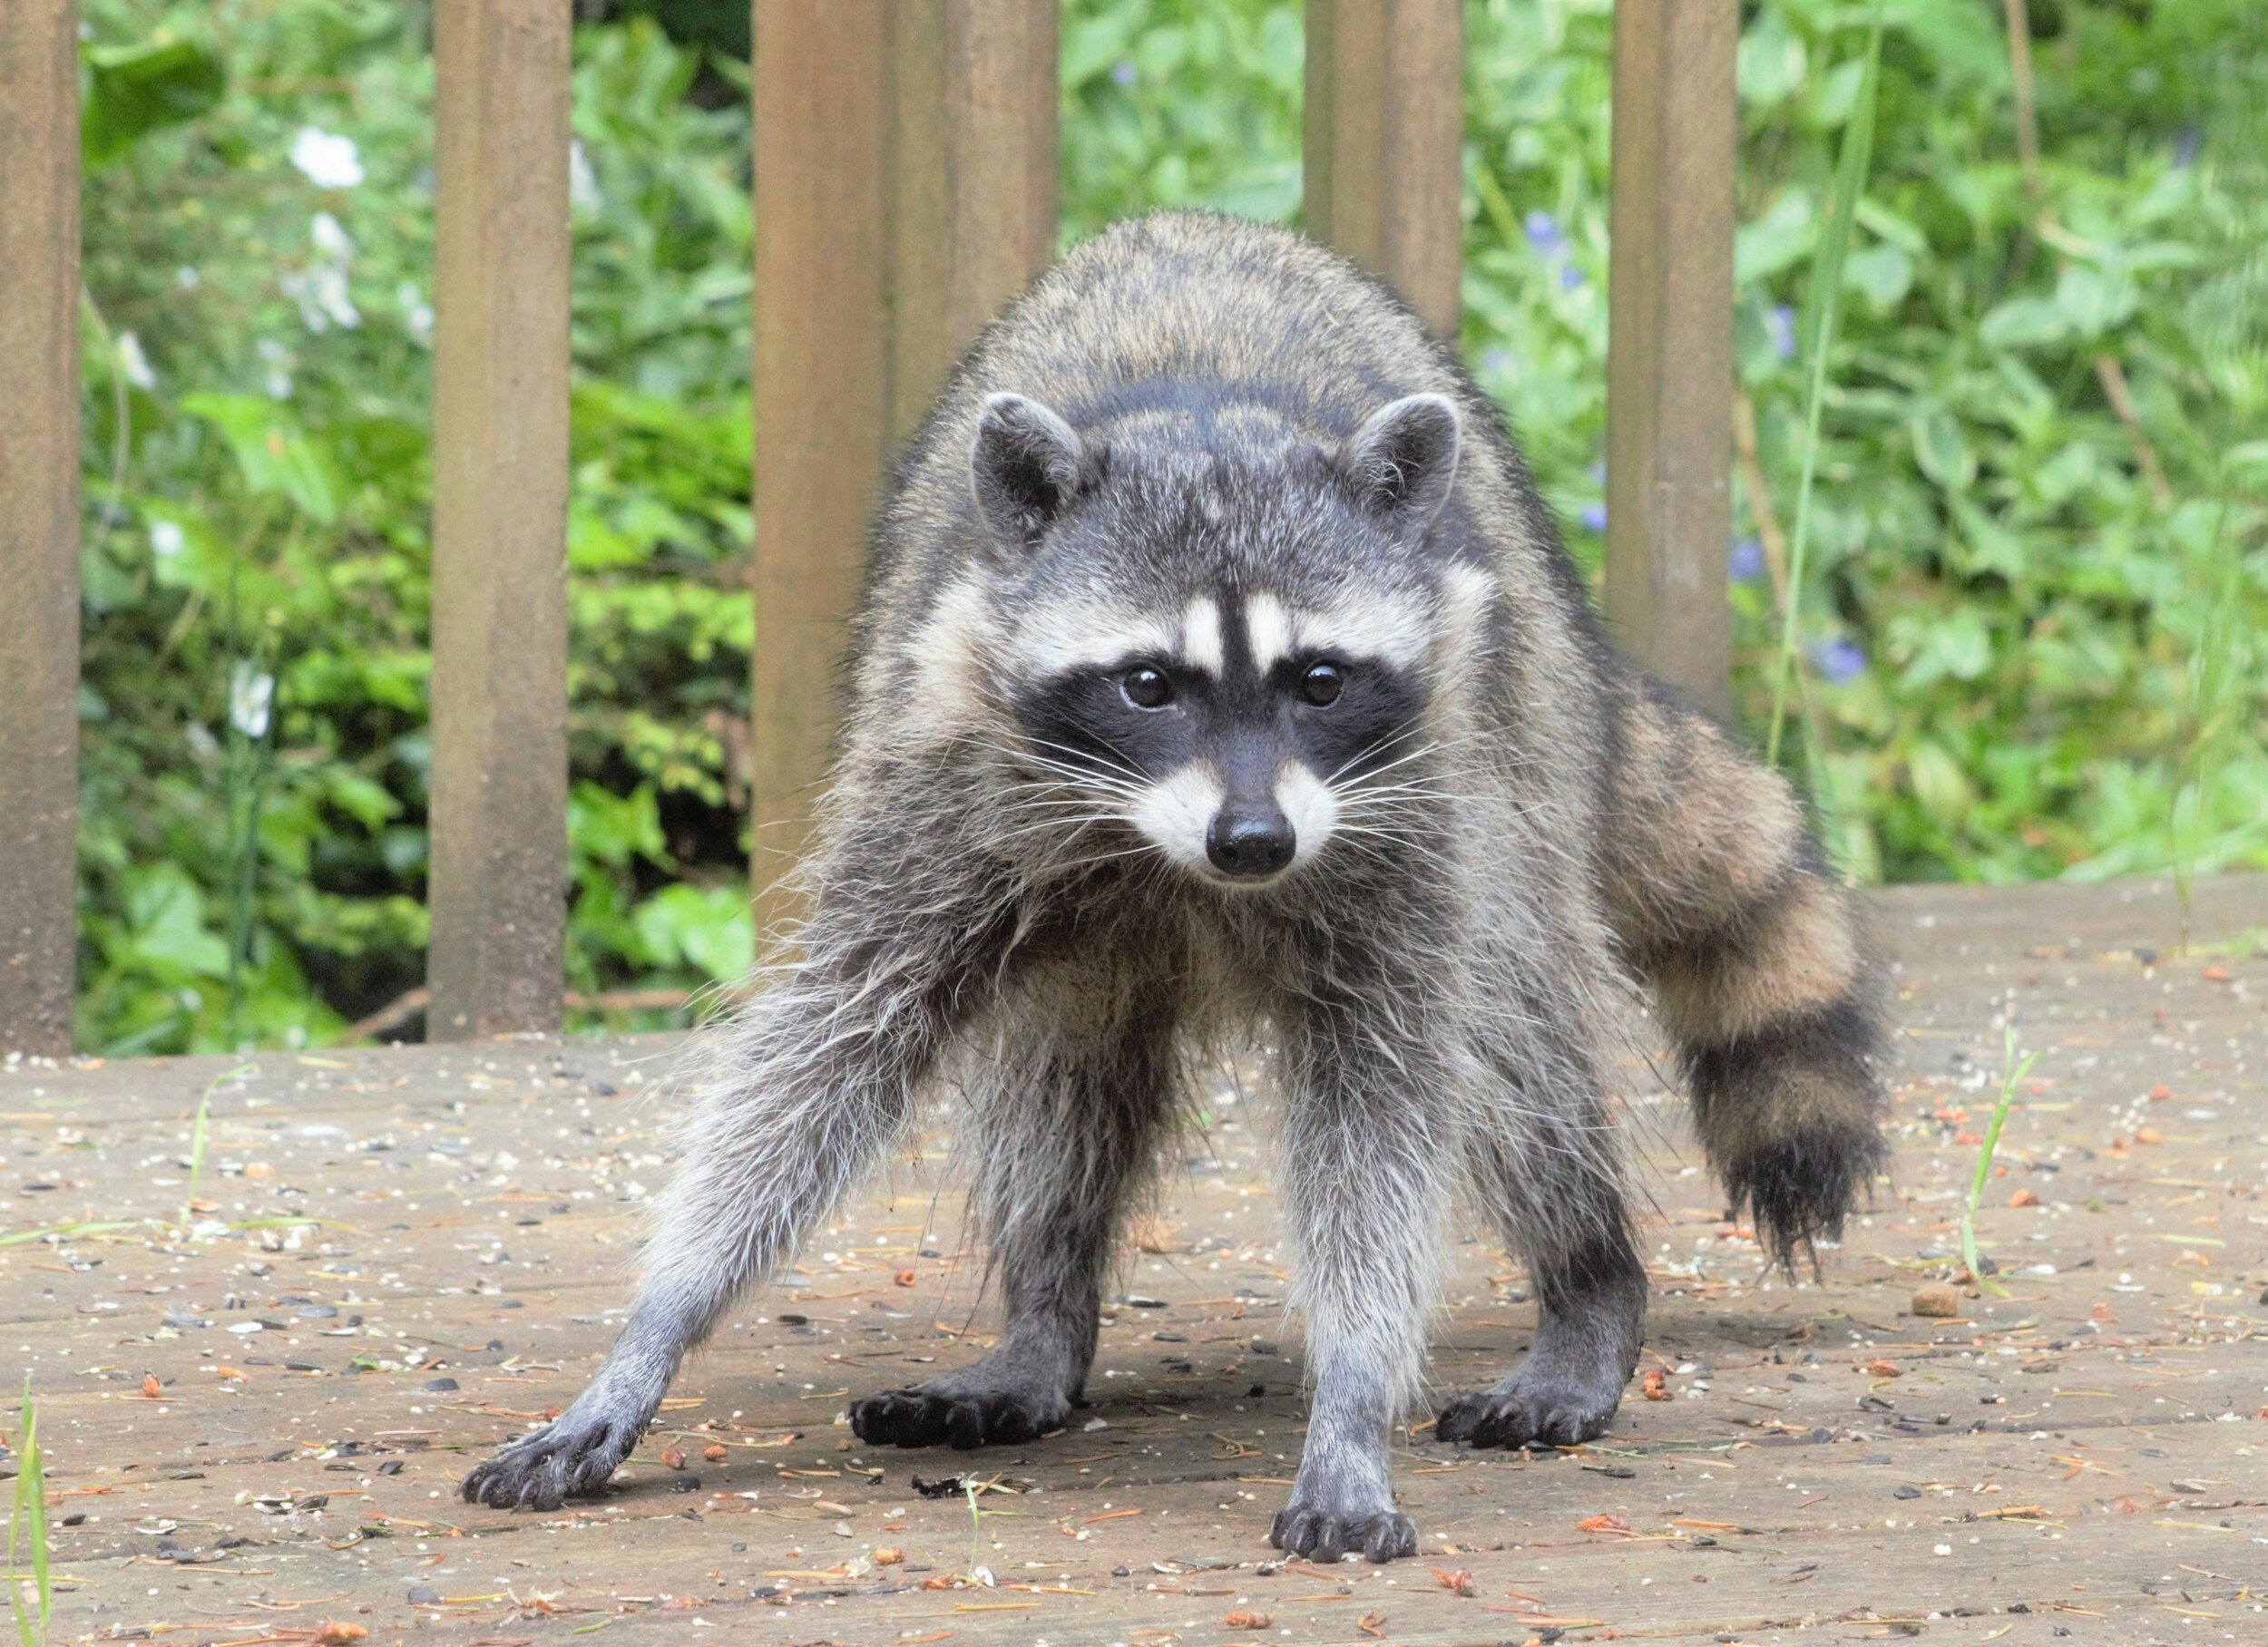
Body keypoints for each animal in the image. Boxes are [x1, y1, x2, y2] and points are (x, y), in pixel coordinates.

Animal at [463, 211, 1886, 1563]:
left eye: (1319, 680)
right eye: (1149, 683)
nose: (1254, 840)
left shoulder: (1406, 822)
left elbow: (1384, 1106)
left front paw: (1352, 1401)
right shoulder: (939, 773)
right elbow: (824, 1052)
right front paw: (657, 1328)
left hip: (1514, 744)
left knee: (1515, 1033)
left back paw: (1588, 1276)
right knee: (1062, 1084)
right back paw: (1045, 1313)